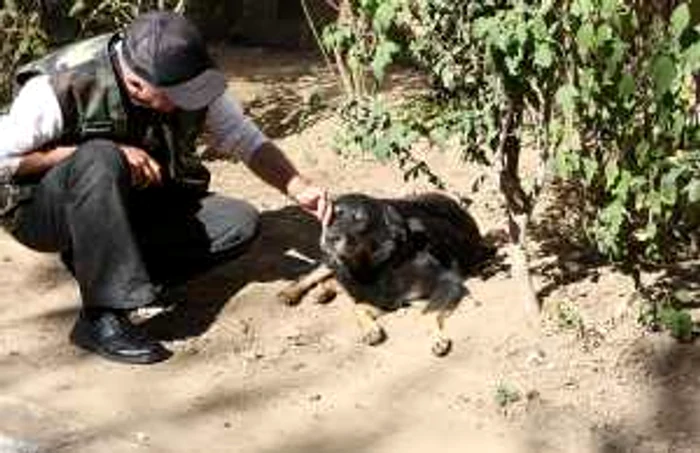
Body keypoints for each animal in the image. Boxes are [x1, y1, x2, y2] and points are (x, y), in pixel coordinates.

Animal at [276, 192, 494, 354]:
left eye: (360, 219)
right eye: (331, 216)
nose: (329, 237)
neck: (380, 265)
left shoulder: (447, 282)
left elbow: (425, 313)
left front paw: (437, 339)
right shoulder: (381, 297)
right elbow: (358, 307)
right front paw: (371, 330)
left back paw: (324, 292)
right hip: (330, 260)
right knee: (315, 274)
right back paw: (292, 293)